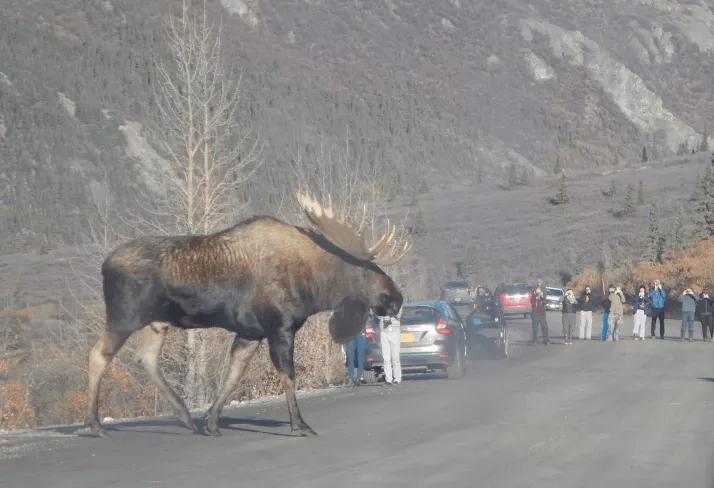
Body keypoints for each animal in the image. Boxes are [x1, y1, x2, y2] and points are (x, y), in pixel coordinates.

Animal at [85, 193, 408, 438]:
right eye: (366, 270)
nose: (396, 299)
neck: (314, 286)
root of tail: (104, 265)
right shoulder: (279, 328)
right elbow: (288, 376)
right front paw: (299, 424)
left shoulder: (251, 333)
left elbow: (233, 375)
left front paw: (211, 422)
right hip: (124, 316)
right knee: (98, 355)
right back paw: (95, 424)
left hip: (156, 323)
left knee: (147, 359)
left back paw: (186, 417)